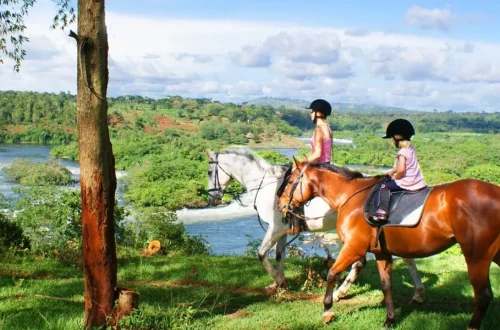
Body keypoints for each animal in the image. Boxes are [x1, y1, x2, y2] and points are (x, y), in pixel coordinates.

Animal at [205, 151, 424, 302]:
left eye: (208, 171)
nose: (212, 199)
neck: (266, 185)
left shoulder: (275, 229)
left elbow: (261, 254)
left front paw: (278, 280)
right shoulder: (283, 231)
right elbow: (279, 256)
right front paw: (279, 283)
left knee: (362, 263)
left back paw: (339, 293)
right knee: (404, 257)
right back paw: (417, 292)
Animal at [278, 159, 500, 328]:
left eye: (290, 181)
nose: (280, 205)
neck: (352, 197)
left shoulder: (354, 248)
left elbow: (331, 273)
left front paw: (327, 310)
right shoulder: (381, 253)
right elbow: (386, 285)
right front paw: (390, 320)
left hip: (476, 256)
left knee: (483, 295)